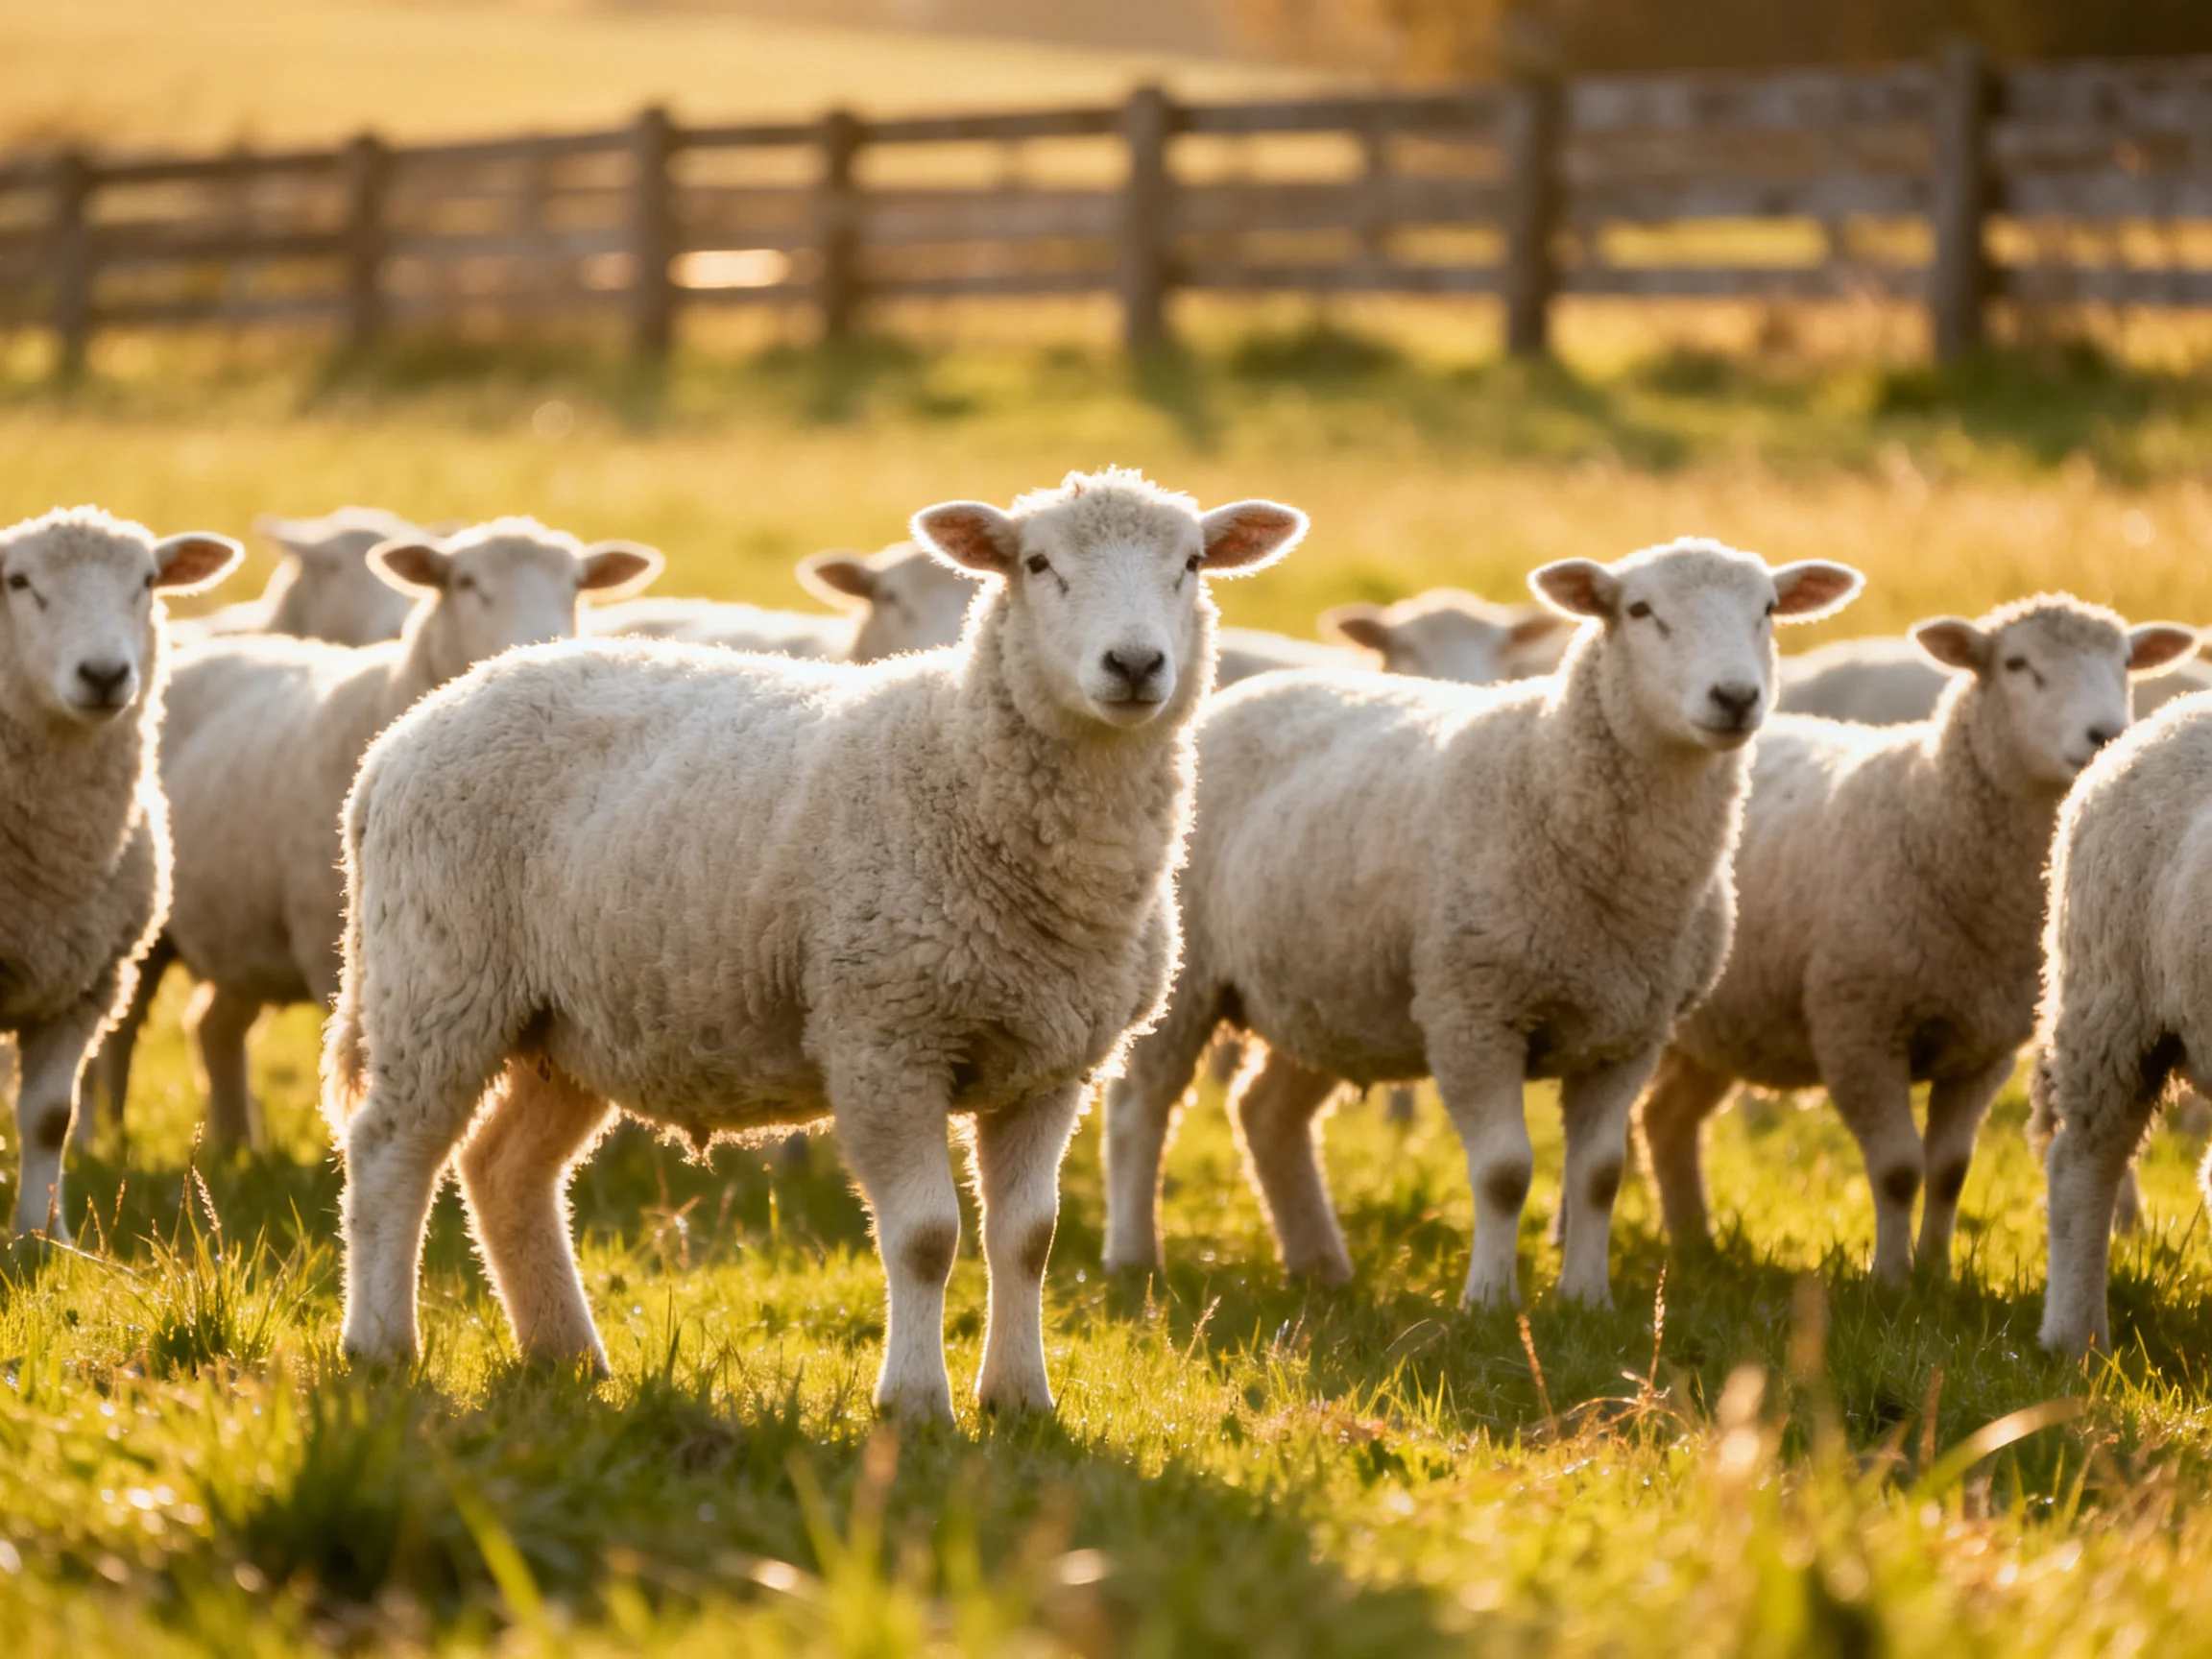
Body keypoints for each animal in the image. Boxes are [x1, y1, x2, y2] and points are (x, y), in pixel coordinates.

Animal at [0, 507, 242, 1239]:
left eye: (148, 581)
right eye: (17, 582)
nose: (105, 673)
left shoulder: (93, 981)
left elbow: (50, 1119)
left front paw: (42, 1238)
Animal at [1638, 597, 2196, 1285]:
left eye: (2125, 663)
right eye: (2017, 664)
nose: (2106, 734)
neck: (1930, 812)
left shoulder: (1982, 1049)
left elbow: (1950, 1171)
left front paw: (1936, 1273)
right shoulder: (1859, 1030)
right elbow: (1899, 1170)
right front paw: (1892, 1280)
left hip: (1724, 1026)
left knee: (1667, 1118)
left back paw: (1695, 1242)